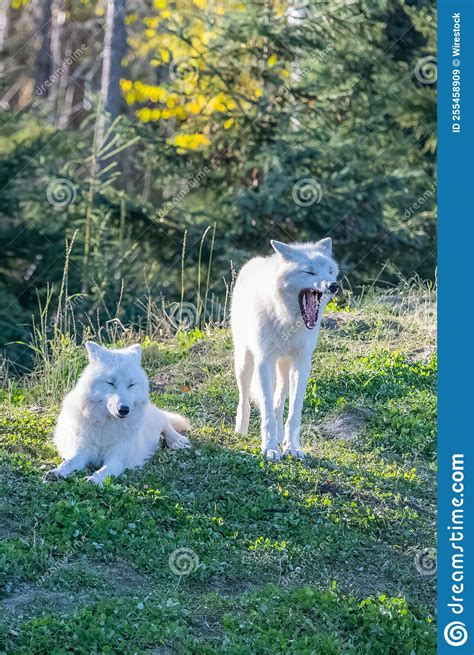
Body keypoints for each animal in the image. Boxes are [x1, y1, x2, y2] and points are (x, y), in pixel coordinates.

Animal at [45, 340, 191, 484]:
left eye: (131, 385)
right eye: (110, 383)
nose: (124, 410)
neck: (106, 425)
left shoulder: (116, 459)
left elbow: (104, 471)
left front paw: (93, 479)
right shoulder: (81, 452)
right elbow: (68, 462)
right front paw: (56, 472)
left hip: (154, 418)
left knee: (165, 421)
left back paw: (177, 441)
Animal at [231, 240, 338, 462]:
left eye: (330, 271)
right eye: (310, 272)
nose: (334, 285)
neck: (287, 319)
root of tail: (254, 261)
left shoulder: (301, 364)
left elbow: (293, 413)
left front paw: (292, 448)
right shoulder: (264, 361)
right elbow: (266, 412)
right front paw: (270, 448)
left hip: (284, 370)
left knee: (278, 402)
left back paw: (280, 437)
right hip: (245, 363)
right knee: (245, 399)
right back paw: (241, 432)